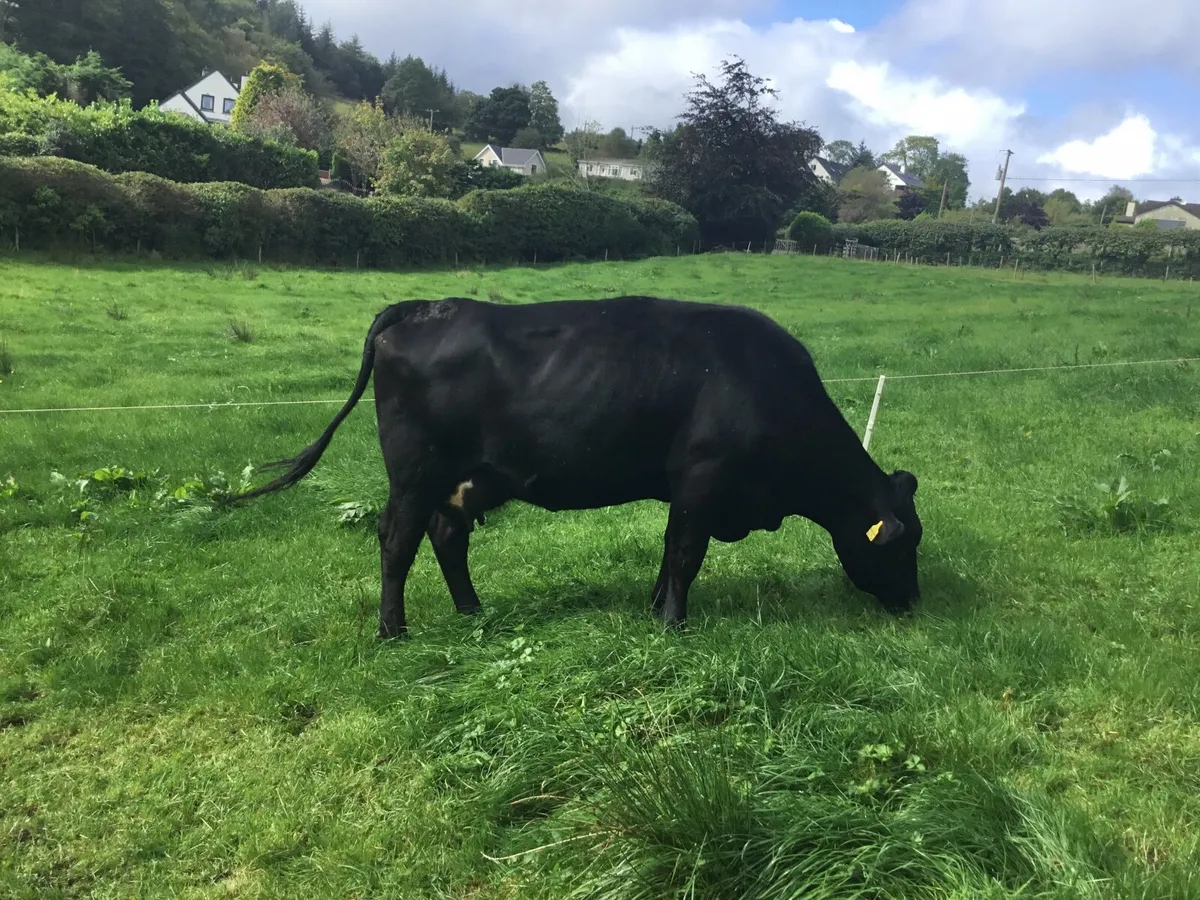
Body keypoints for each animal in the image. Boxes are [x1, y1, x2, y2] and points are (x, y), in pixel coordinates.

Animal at [227, 295, 923, 638]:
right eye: (900, 546)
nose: (915, 604)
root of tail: (422, 306)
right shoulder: (702, 480)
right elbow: (687, 551)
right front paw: (674, 624)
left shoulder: (684, 491)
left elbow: (668, 550)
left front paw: (654, 605)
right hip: (414, 473)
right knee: (396, 542)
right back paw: (392, 629)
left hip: (467, 479)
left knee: (447, 536)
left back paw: (472, 610)